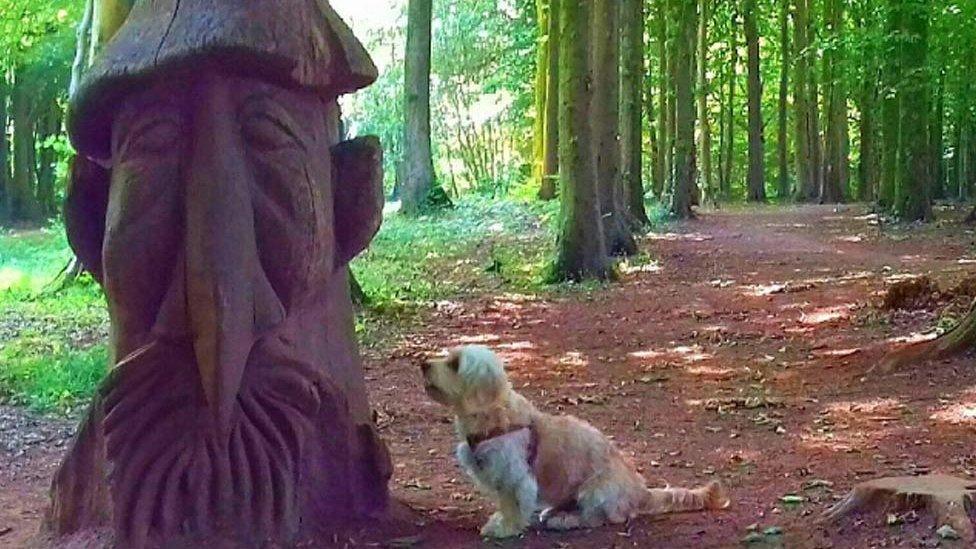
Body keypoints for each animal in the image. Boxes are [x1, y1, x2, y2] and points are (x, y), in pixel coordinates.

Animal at [422, 344, 732, 536]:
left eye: (455, 364)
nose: (423, 363)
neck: (492, 414)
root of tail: (641, 491)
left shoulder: (515, 476)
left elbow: (513, 506)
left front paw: (504, 528)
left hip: (595, 492)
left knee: (600, 518)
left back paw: (567, 520)